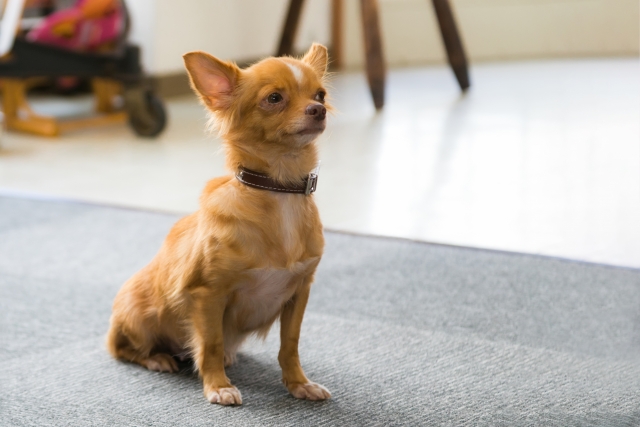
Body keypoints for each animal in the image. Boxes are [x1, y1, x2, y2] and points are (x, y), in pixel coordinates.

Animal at [106, 44, 330, 408]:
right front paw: (218, 386)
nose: (319, 110)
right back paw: (158, 358)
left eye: (320, 94)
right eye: (274, 98)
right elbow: (209, 344)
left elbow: (290, 344)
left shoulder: (299, 292)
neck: (278, 188)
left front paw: (299, 384)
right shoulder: (208, 294)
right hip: (138, 317)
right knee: (123, 349)